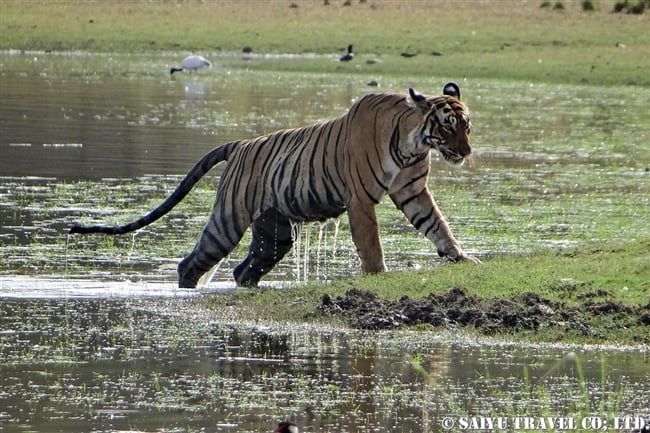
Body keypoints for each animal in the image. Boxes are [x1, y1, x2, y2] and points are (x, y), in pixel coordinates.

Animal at [71, 82, 478, 288]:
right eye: (447, 126)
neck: (414, 143)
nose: (466, 152)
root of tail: (238, 144)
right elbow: (371, 242)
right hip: (227, 221)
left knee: (243, 270)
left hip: (277, 231)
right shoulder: (361, 199)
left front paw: (461, 256)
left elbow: (437, 225)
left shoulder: (413, 191)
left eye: (466, 126)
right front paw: (379, 274)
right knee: (190, 264)